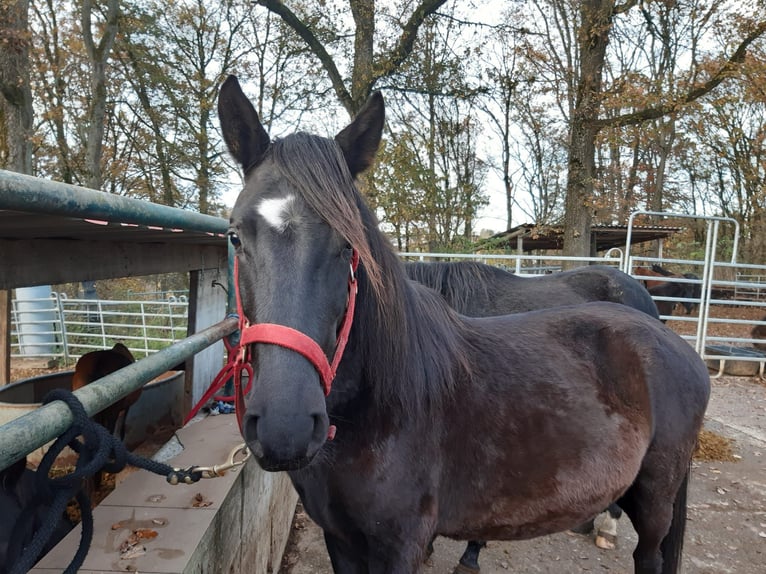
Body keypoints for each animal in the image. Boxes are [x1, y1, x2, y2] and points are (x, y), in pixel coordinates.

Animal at [219, 75, 711, 574]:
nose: (286, 427)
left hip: (655, 502)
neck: (379, 410)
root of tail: (671, 341)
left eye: (349, 245)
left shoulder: (400, 546)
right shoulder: (340, 540)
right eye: (235, 236)